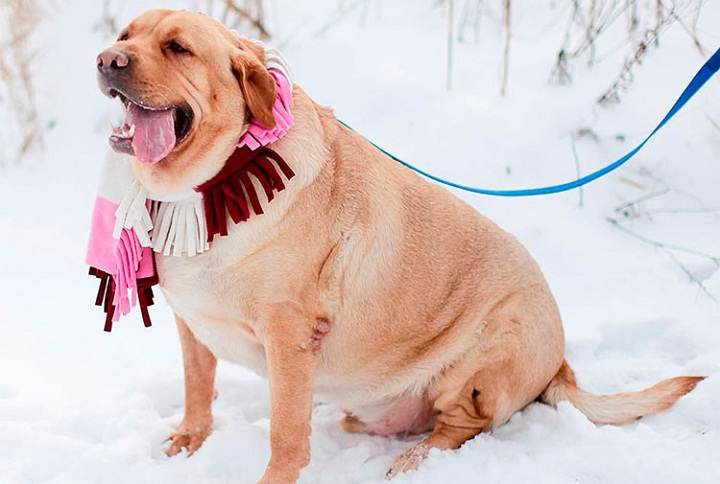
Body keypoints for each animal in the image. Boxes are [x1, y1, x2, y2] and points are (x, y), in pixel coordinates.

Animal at [95, 9, 704, 482]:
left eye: (178, 48)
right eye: (126, 34)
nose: (106, 60)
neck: (211, 183)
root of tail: (561, 364)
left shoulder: (290, 333)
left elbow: (286, 431)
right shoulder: (191, 322)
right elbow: (198, 387)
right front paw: (189, 440)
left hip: (486, 353)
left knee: (462, 425)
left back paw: (416, 461)